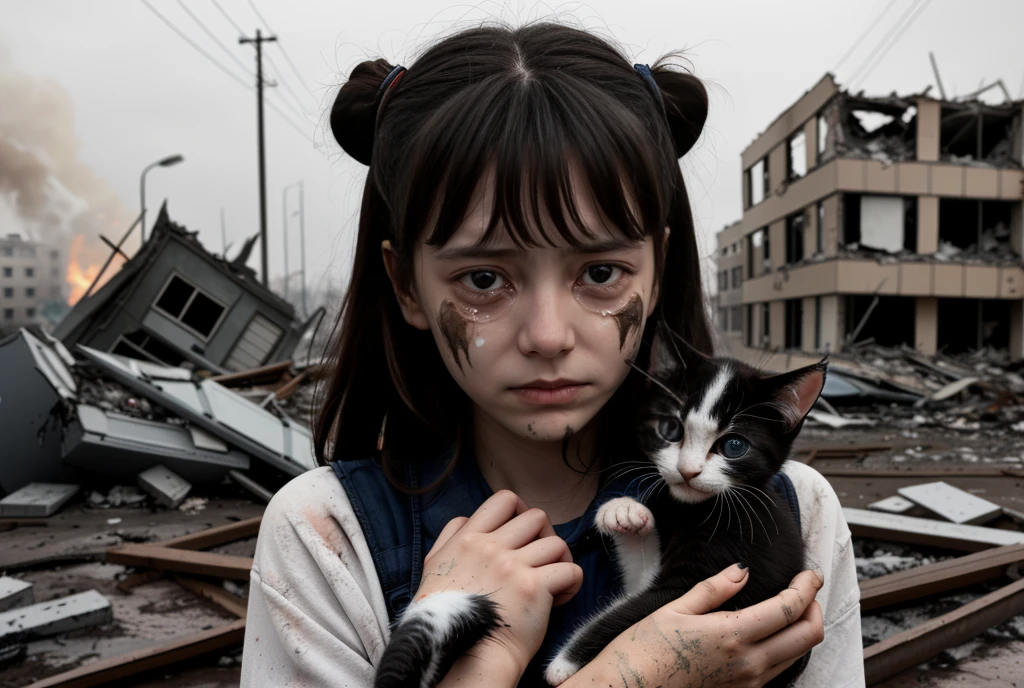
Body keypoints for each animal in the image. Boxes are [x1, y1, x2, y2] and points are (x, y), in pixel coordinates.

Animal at [548, 352, 827, 683]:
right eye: (671, 430)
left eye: (735, 446)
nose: (688, 470)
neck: (697, 510)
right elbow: (640, 581)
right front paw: (625, 514)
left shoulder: (732, 557)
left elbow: (639, 609)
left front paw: (564, 663)